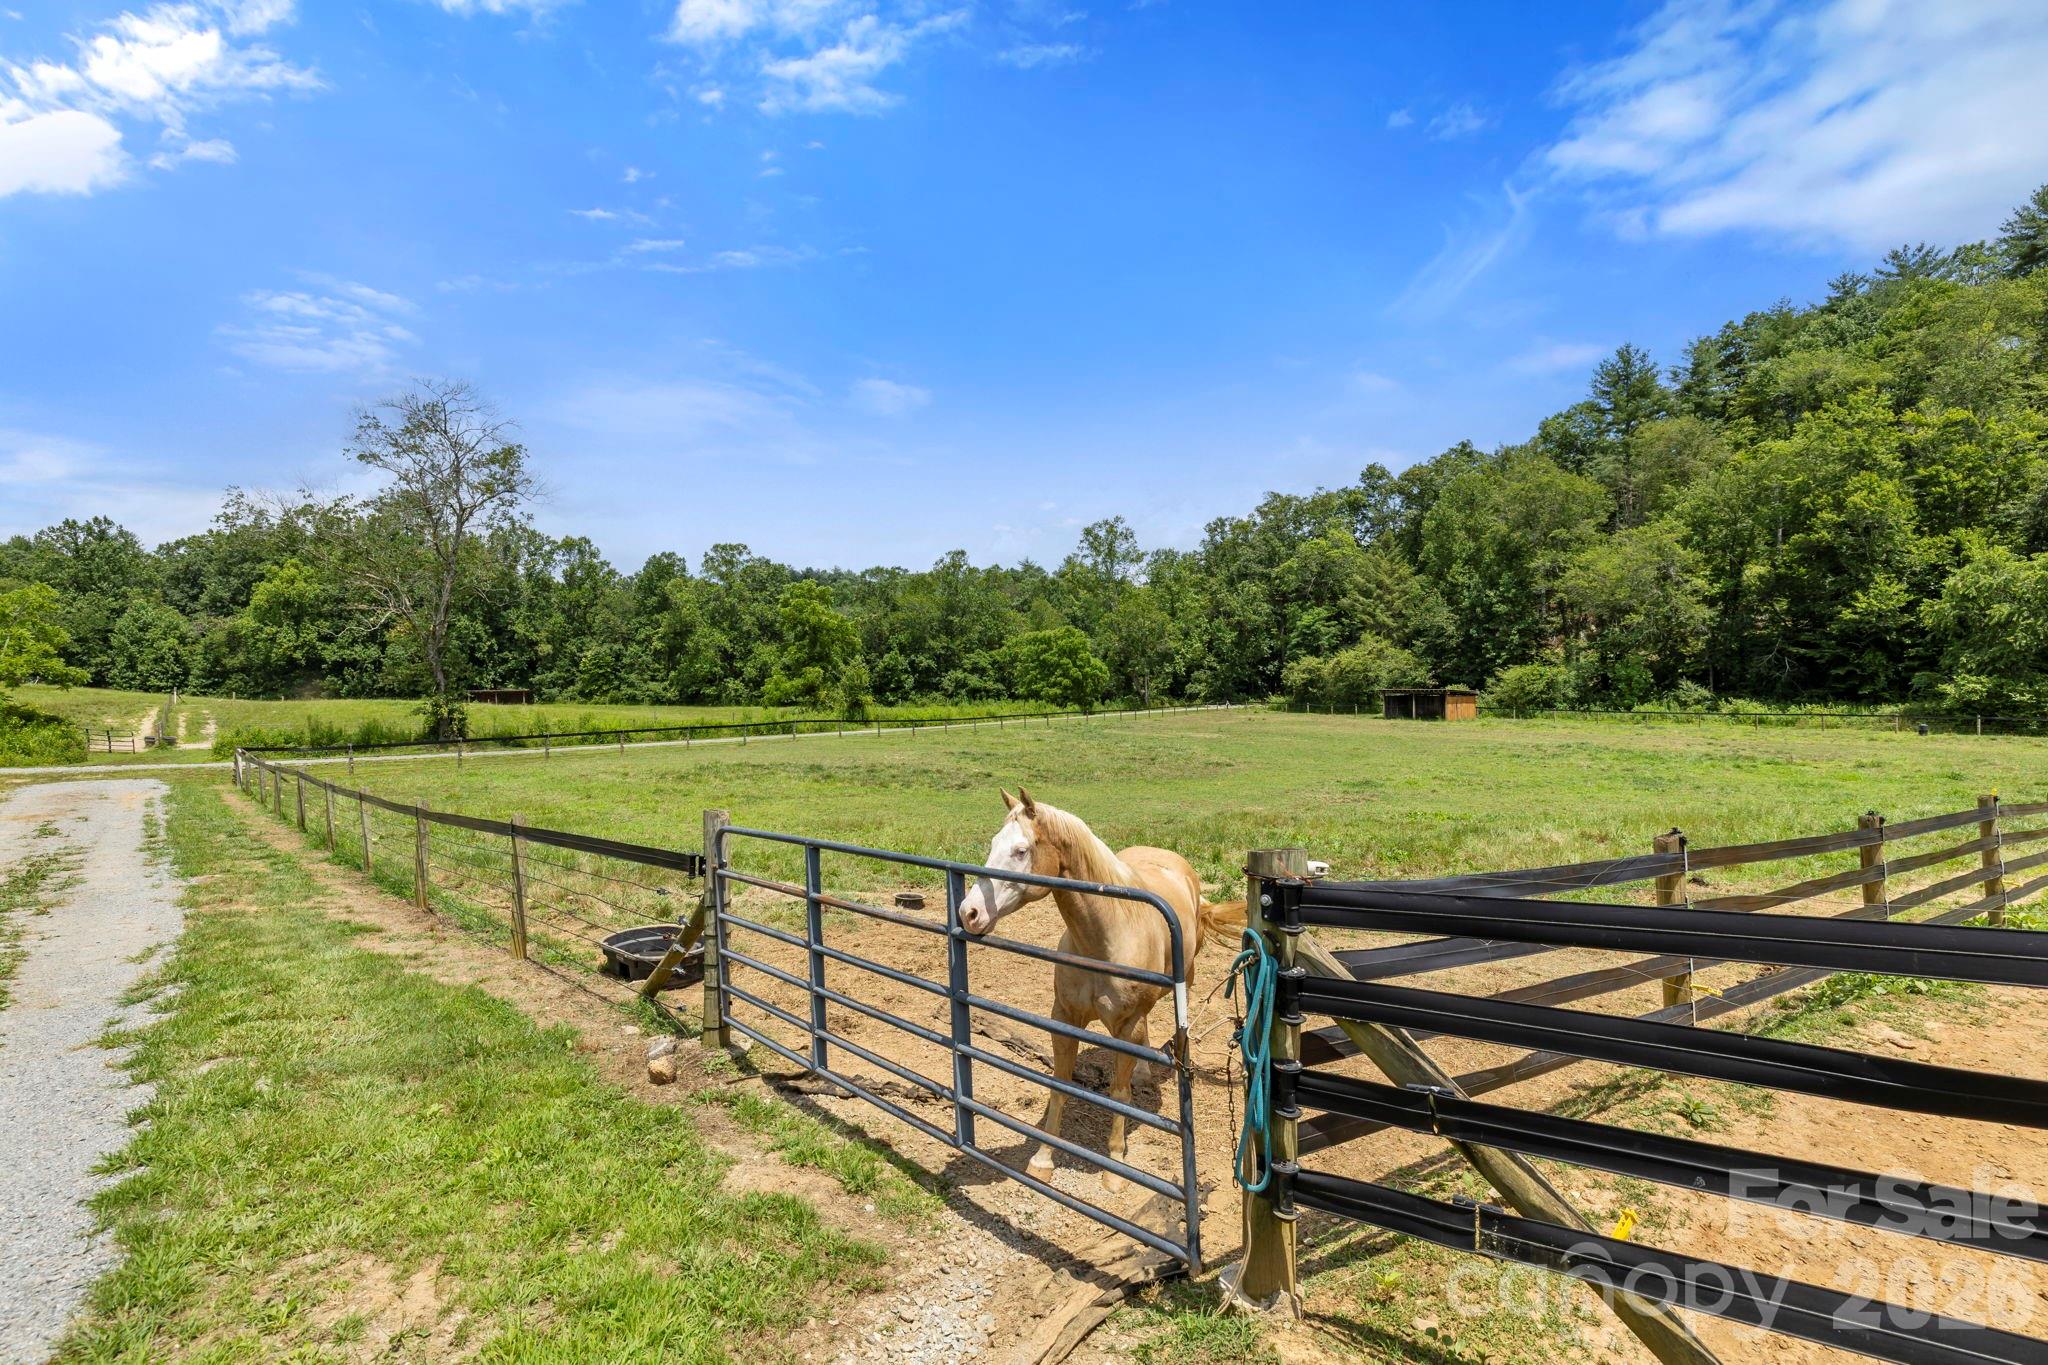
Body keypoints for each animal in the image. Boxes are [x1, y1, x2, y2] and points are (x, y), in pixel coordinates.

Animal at [957, 788, 1243, 1182]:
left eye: (1021, 850)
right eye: (993, 844)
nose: (969, 913)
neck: (1106, 936)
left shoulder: (1127, 1025)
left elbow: (1120, 1094)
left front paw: (1115, 1168)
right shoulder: (1064, 1018)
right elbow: (1059, 1085)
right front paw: (1043, 1159)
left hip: (1183, 981)